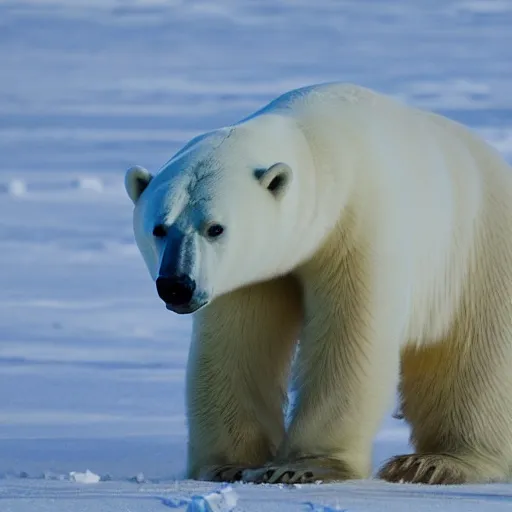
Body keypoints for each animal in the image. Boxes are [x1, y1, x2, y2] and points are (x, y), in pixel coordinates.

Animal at [125, 83, 512, 484]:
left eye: (215, 227)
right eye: (159, 228)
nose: (176, 284)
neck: (325, 150)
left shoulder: (359, 230)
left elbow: (348, 339)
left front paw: (300, 468)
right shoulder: (249, 274)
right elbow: (237, 344)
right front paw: (228, 466)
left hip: (477, 251)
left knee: (474, 358)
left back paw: (436, 463)